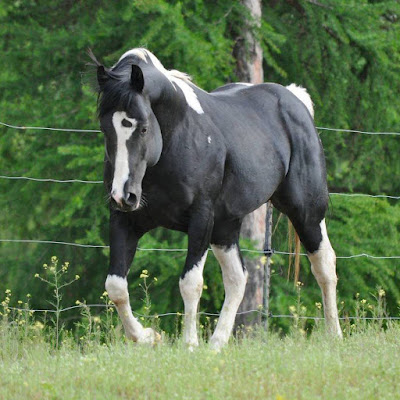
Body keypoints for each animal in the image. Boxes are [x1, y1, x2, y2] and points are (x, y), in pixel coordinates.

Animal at [89, 48, 342, 350]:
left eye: (143, 128)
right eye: (106, 129)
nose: (123, 195)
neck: (177, 137)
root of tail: (296, 99)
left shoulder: (201, 218)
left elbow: (190, 283)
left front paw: (189, 345)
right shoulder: (125, 220)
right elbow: (115, 286)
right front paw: (148, 336)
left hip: (306, 213)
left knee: (324, 265)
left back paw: (335, 336)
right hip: (226, 227)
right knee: (237, 278)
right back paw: (217, 345)